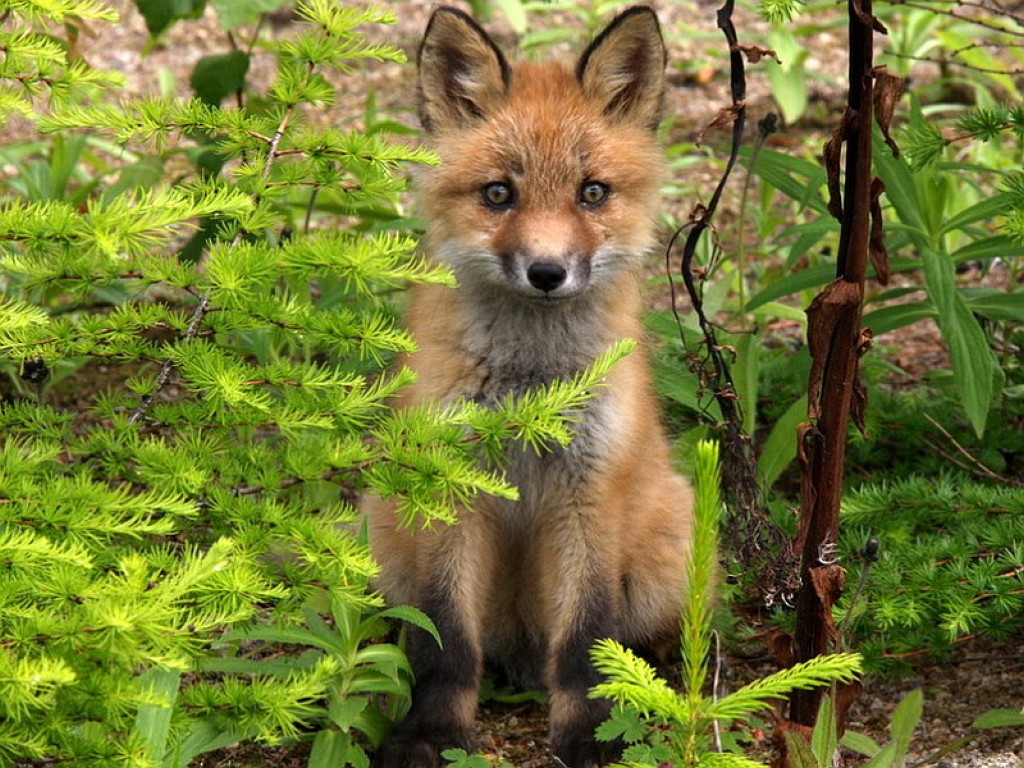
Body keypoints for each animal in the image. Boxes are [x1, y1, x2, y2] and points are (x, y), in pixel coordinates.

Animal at [364, 7, 692, 768]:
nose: (547, 272)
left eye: (591, 192)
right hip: (382, 535)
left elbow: (586, 640)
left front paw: (595, 732)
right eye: (498, 194)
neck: (528, 397)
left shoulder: (590, 489)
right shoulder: (448, 485)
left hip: (667, 553)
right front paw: (432, 734)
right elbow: (444, 640)